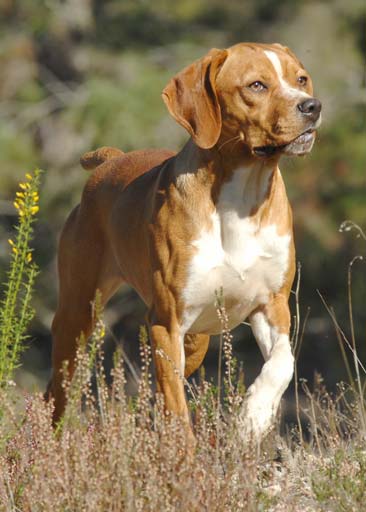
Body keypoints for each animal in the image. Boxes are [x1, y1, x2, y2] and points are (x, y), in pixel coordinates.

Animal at [47, 42, 322, 442]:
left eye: (301, 79)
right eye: (256, 85)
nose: (312, 106)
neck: (242, 199)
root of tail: (110, 161)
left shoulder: (272, 305)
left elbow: (283, 362)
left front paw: (253, 417)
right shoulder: (167, 322)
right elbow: (178, 412)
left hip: (195, 341)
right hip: (79, 315)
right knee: (58, 390)